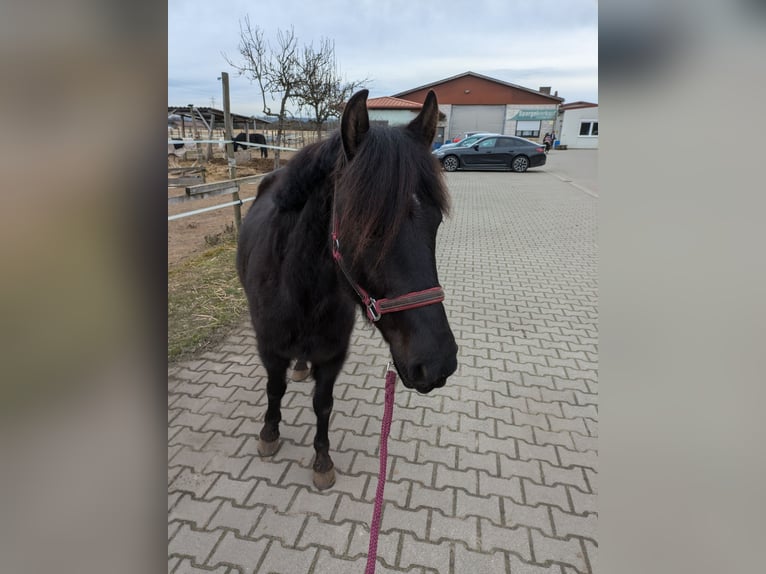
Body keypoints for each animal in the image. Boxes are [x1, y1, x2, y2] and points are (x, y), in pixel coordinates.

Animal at [237, 89, 460, 490]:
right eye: (366, 226)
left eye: (435, 221)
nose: (438, 362)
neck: (301, 290)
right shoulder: (269, 347)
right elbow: (275, 388)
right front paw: (269, 433)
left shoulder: (333, 353)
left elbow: (323, 403)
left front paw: (322, 459)